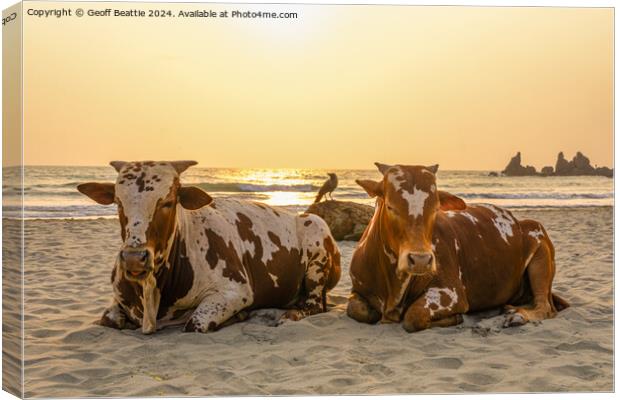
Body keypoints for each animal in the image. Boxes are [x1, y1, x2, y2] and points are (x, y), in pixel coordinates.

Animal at [77, 161, 342, 332]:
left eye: (168, 202)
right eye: (118, 202)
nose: (134, 258)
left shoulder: (236, 291)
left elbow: (195, 323)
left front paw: (239, 315)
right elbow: (109, 319)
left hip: (317, 238)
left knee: (314, 305)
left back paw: (290, 314)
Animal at [346, 162, 568, 332]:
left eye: (435, 208)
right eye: (390, 206)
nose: (420, 260)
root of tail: (519, 221)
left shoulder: (451, 293)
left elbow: (414, 317)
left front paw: (456, 318)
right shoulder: (358, 290)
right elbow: (356, 310)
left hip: (540, 250)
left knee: (544, 307)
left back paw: (516, 316)